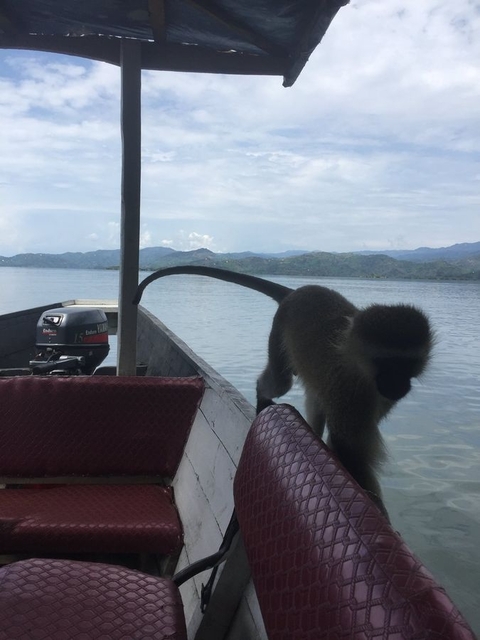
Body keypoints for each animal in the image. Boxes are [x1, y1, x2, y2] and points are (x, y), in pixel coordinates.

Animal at [134, 266, 433, 518]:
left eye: (406, 364)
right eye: (386, 363)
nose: (397, 385)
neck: (360, 366)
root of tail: (295, 292)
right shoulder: (348, 389)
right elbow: (348, 445)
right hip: (278, 331)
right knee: (280, 382)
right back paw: (262, 395)